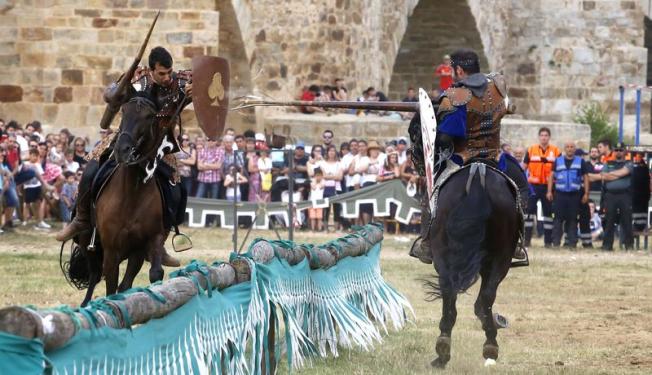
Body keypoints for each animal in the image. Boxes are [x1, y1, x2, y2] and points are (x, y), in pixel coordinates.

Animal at [428, 163, 520, 368]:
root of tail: (478, 171)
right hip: (499, 259)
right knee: (484, 296)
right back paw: (489, 344)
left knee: (452, 292)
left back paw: (444, 348)